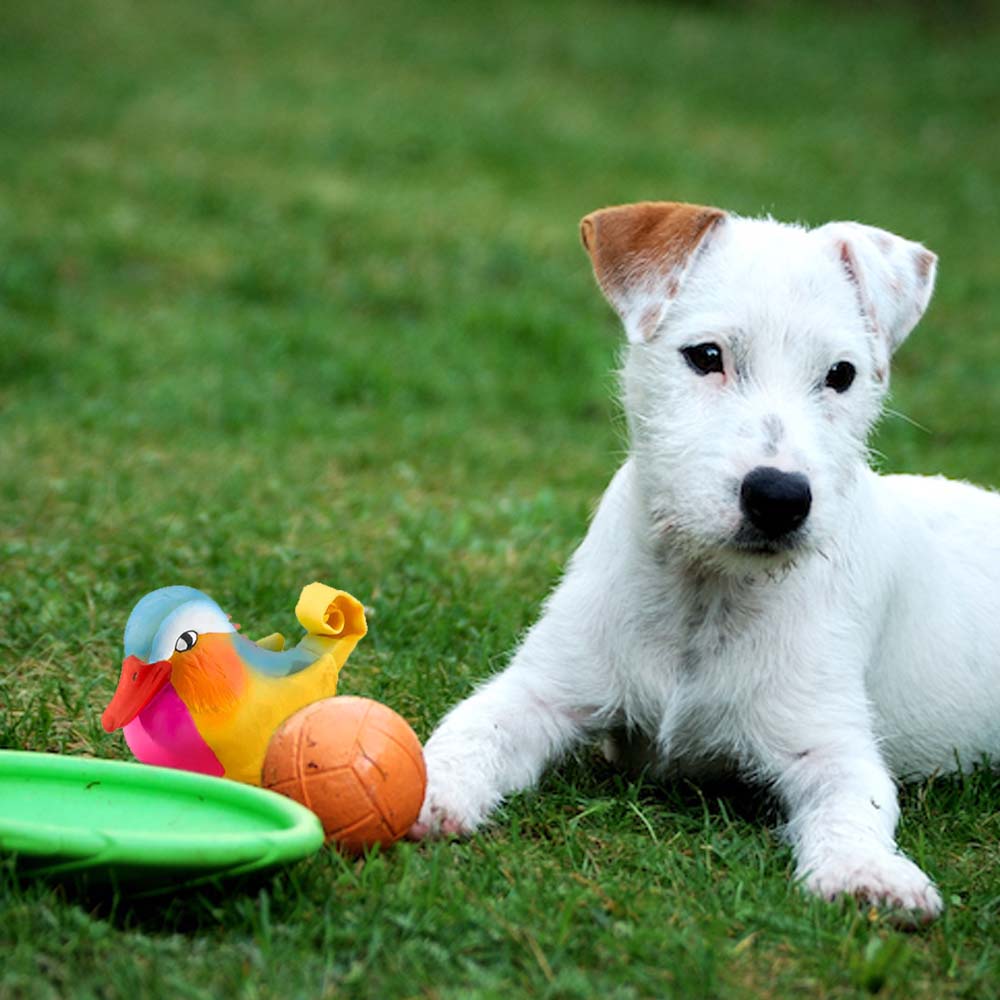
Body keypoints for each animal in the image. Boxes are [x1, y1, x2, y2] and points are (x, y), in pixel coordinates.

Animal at [410, 201, 1000, 919]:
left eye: (842, 375)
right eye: (707, 356)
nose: (779, 498)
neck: (707, 588)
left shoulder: (829, 742)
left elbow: (855, 805)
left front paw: (865, 871)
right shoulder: (540, 691)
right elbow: (470, 731)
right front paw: (424, 788)